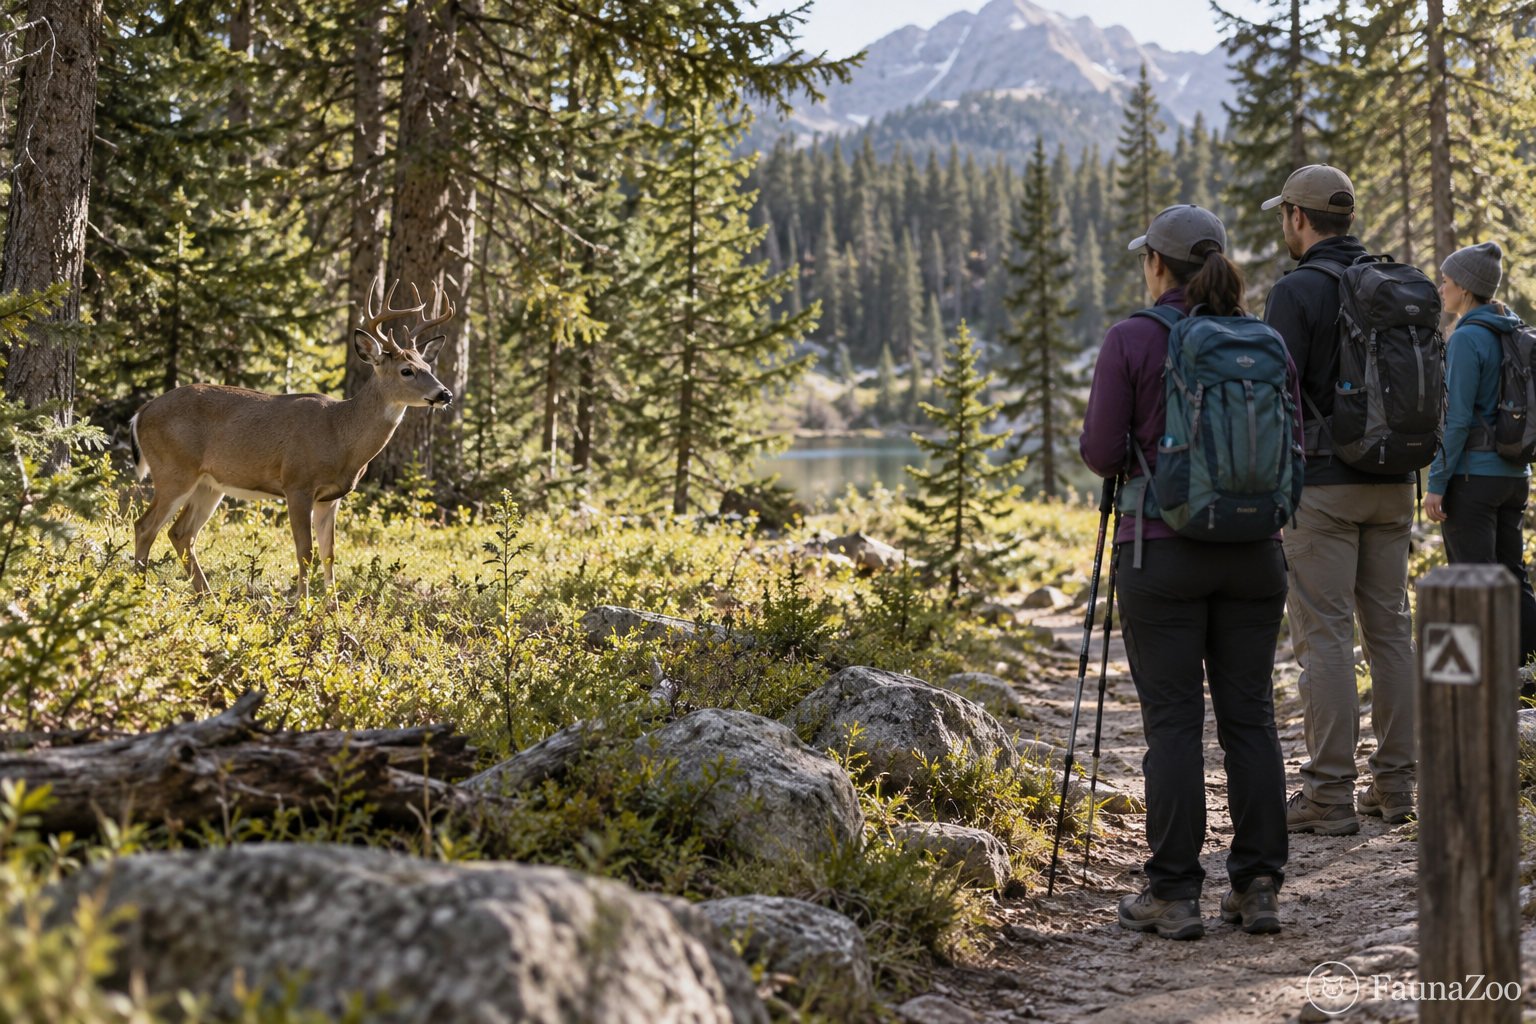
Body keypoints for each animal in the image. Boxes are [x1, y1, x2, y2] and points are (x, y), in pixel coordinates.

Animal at [129, 279, 454, 597]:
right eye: (406, 370)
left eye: (429, 367)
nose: (445, 394)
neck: (341, 436)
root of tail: (140, 413)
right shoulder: (297, 484)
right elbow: (305, 552)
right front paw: (302, 606)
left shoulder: (331, 497)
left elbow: (329, 553)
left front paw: (332, 609)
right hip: (174, 469)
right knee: (145, 525)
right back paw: (138, 591)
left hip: (208, 484)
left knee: (180, 533)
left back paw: (206, 596)